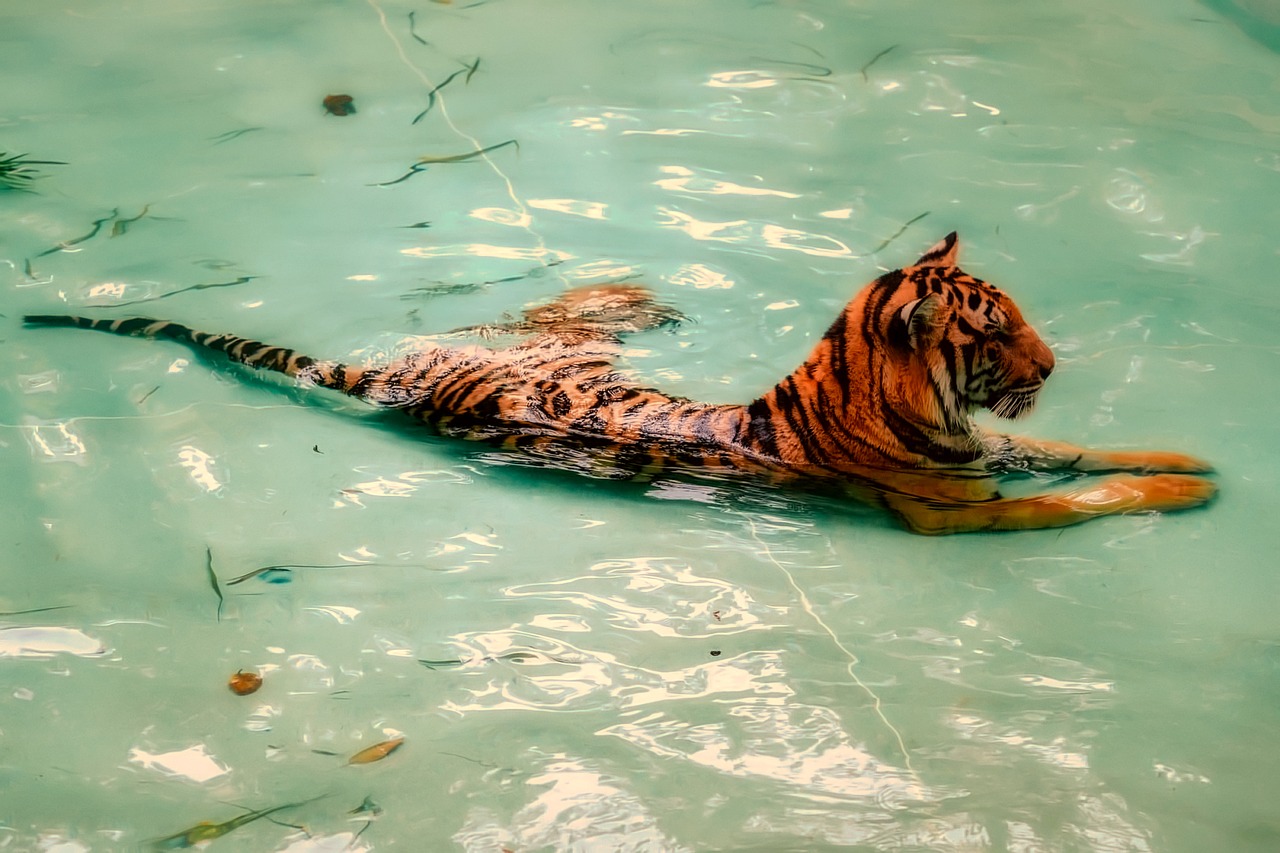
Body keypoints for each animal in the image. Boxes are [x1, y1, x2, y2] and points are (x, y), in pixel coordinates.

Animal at [24, 233, 1213, 532]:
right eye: (997, 330)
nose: (1053, 365)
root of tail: (389, 377)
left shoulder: (990, 449)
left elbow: (1081, 452)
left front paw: (1188, 457)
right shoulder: (956, 508)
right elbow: (1077, 497)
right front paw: (1179, 489)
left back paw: (637, 292)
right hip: (526, 347)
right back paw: (634, 291)